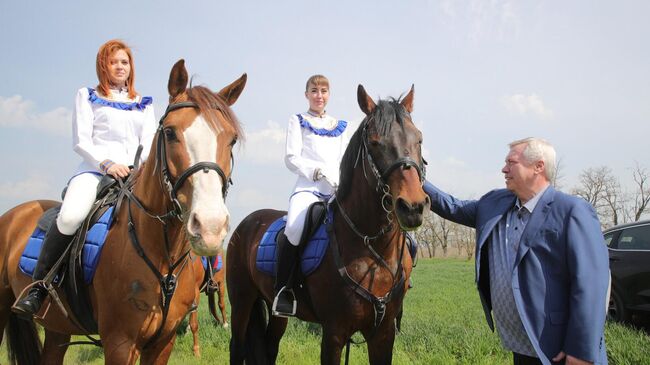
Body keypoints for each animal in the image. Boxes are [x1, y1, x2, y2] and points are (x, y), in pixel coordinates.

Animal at [0, 59, 246, 364]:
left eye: (231, 139)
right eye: (169, 132)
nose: (210, 227)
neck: (162, 258)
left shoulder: (162, 343)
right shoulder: (120, 343)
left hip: (58, 330)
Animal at [225, 84, 428, 362]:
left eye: (419, 139)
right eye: (375, 142)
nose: (412, 206)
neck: (373, 250)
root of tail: (247, 223)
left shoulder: (383, 335)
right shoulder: (334, 333)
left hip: (275, 312)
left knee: (269, 346)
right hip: (241, 300)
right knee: (237, 345)